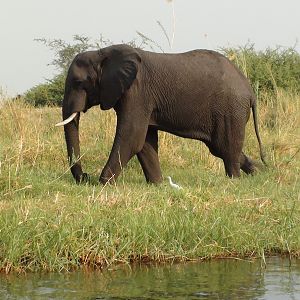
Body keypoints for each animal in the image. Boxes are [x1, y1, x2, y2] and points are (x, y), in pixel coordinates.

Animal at [55, 44, 264, 185]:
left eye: (79, 83)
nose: (85, 177)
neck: (102, 53)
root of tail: (250, 91)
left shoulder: (137, 92)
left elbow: (132, 136)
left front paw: (103, 183)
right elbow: (144, 140)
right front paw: (157, 184)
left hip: (230, 111)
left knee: (226, 147)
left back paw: (234, 179)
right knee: (220, 147)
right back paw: (257, 172)